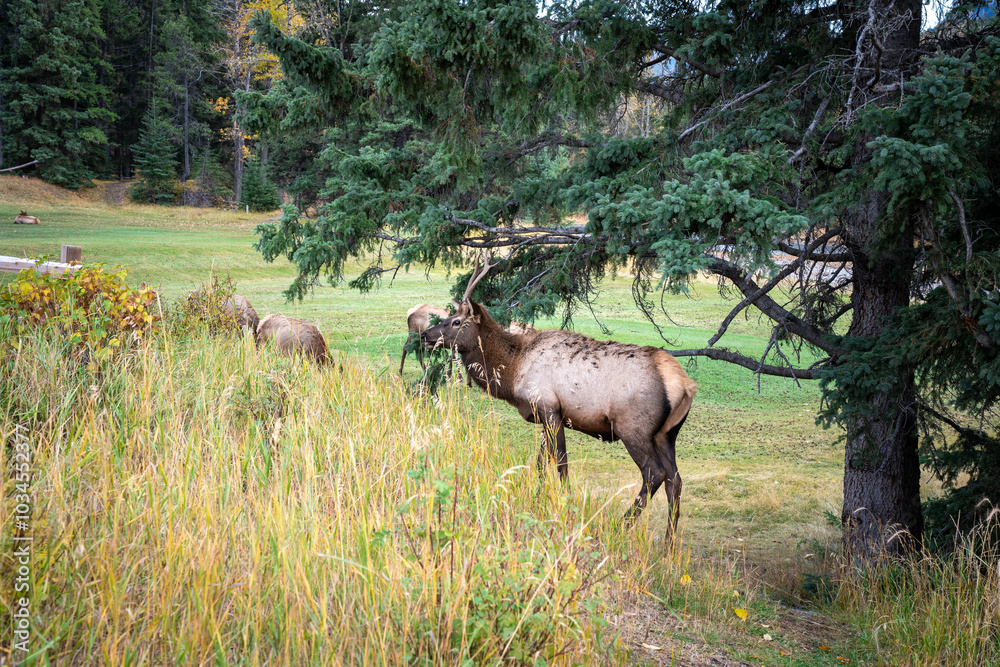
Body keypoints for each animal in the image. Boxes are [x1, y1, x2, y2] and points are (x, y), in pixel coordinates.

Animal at [422, 255, 697, 541]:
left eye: (456, 322)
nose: (425, 335)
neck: (512, 370)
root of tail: (685, 384)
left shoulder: (550, 408)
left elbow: (560, 461)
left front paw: (565, 506)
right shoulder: (549, 415)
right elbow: (542, 462)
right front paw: (538, 500)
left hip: (633, 428)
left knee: (655, 473)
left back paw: (620, 526)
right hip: (667, 434)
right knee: (675, 480)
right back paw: (669, 541)